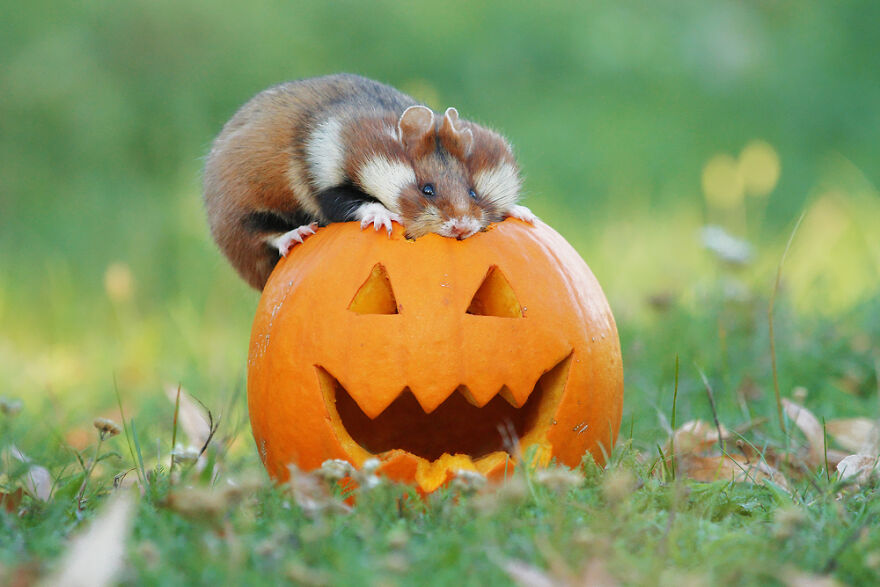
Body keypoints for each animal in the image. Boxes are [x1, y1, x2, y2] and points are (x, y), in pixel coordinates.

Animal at [203, 73, 535, 290]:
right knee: (263, 235)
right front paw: (384, 218)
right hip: (240, 215)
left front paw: (523, 214)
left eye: (473, 192)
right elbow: (354, 203)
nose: (462, 228)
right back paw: (297, 234)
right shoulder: (325, 180)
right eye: (426, 189)